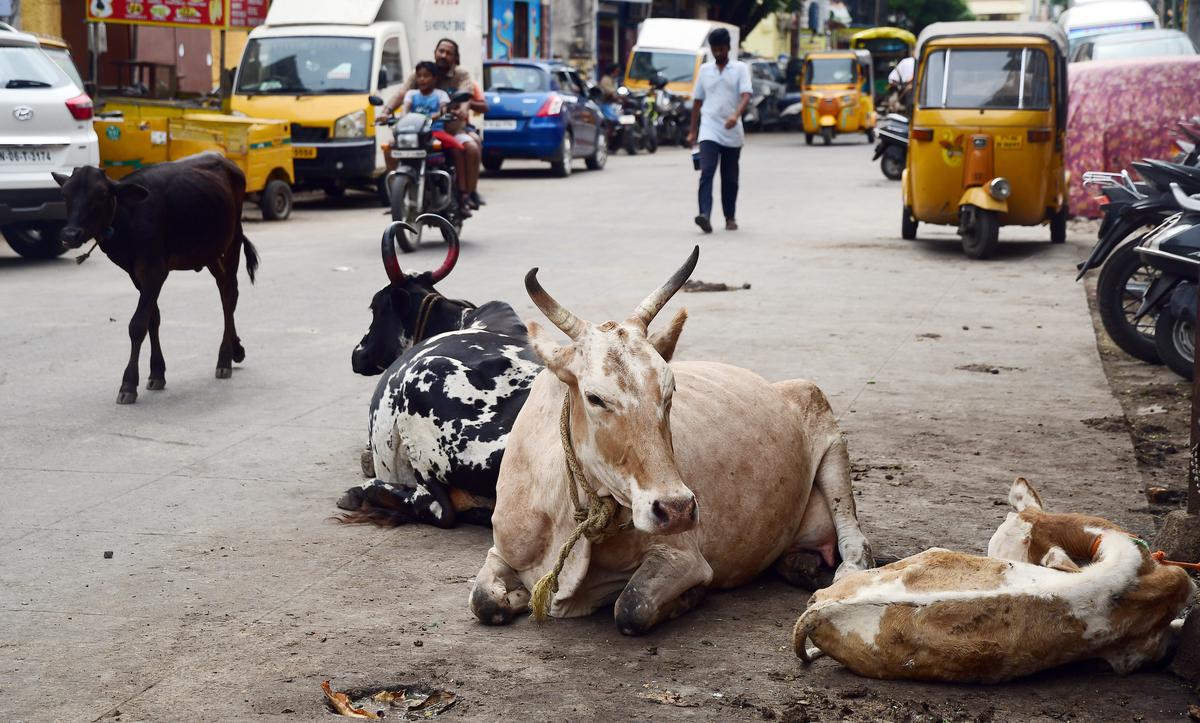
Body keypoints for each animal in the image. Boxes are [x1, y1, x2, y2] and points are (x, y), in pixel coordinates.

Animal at [52, 152, 259, 403]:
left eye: (100, 195)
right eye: (65, 194)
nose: (70, 234)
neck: (128, 217)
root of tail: (226, 160)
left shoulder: (155, 271)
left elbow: (138, 324)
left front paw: (129, 384)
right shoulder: (136, 274)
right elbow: (153, 319)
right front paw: (157, 372)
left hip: (232, 242)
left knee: (229, 295)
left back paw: (225, 359)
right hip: (209, 251)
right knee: (225, 290)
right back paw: (236, 349)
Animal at [468, 246, 873, 629]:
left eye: (670, 390)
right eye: (595, 397)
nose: (676, 508)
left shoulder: (683, 557)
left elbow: (631, 607)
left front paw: (688, 599)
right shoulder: (500, 551)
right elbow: (484, 602)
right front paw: (514, 598)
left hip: (828, 432)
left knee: (855, 539)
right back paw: (798, 564)